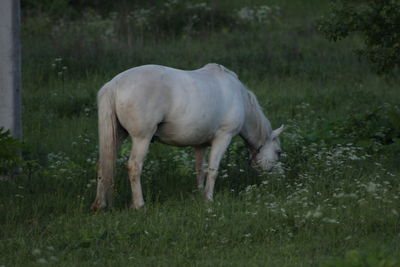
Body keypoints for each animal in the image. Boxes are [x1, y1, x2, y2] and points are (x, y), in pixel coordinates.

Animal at [90, 63, 284, 211]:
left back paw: (100, 204)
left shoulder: (200, 145)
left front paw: (200, 194)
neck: (239, 95)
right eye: (279, 152)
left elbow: (200, 169)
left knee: (103, 165)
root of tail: (115, 84)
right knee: (134, 167)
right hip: (141, 138)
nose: (278, 180)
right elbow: (213, 170)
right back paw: (139, 205)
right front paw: (209, 198)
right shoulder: (223, 137)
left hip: (117, 136)